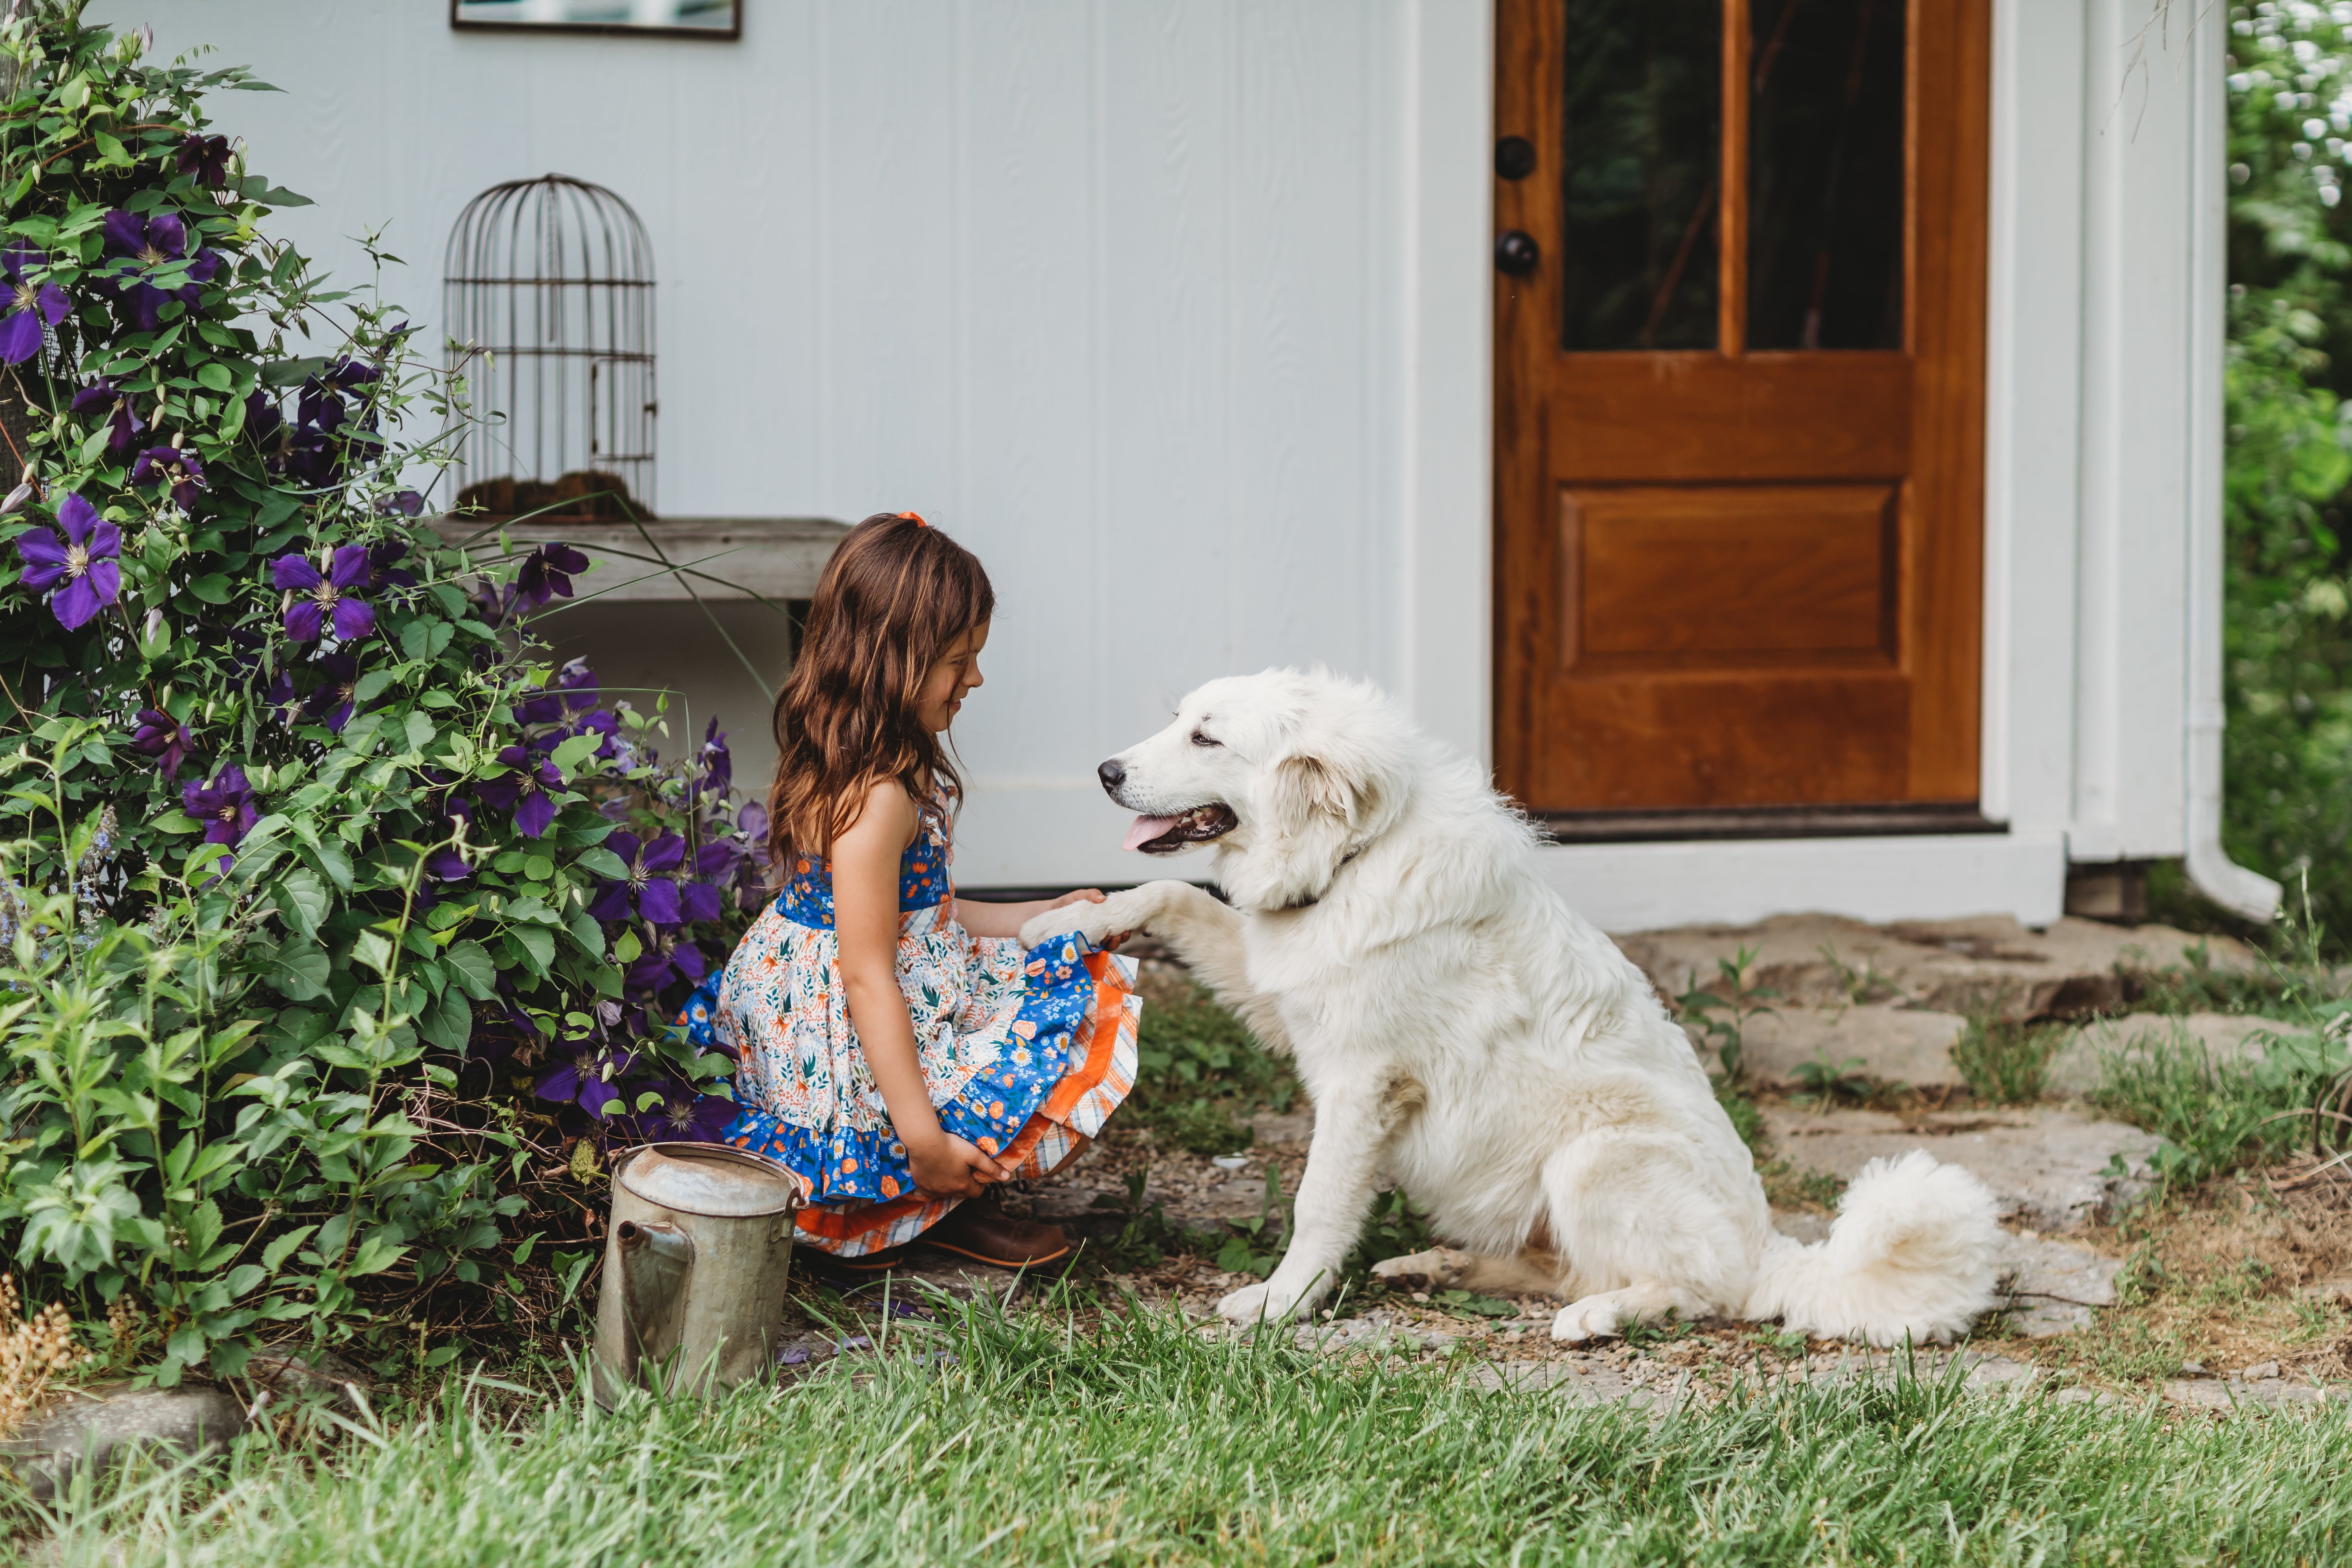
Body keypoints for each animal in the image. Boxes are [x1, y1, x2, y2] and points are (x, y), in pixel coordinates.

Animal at [1020, 667, 1994, 1345]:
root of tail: (1772, 1252)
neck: (1356, 858)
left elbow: (1316, 1207)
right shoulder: (1276, 986)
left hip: (1592, 1160)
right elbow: (1167, 892)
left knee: (1696, 1292)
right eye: (1180, 721)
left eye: (1206, 738)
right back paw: (1436, 1268)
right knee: (1558, 1271)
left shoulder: (1360, 1087)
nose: (1105, 771)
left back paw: (1600, 1318)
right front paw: (1069, 919)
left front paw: (1277, 1304)